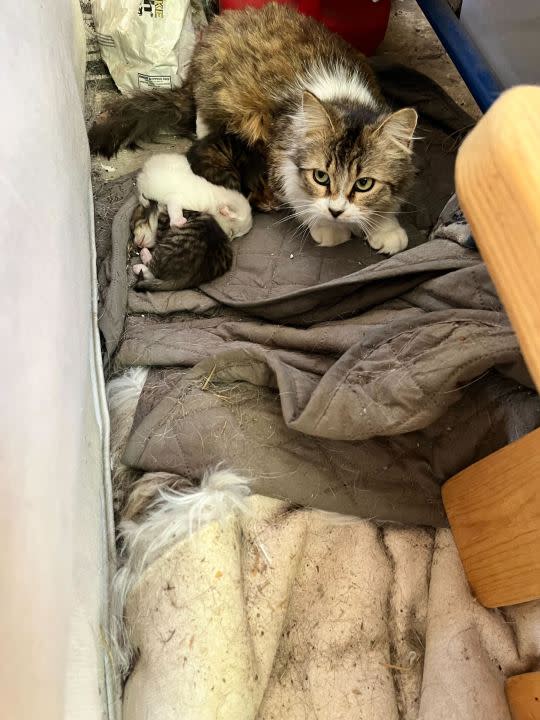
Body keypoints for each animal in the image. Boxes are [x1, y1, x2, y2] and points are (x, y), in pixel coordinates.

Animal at [89, 2, 418, 255]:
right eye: (321, 177)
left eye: (364, 184)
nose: (336, 212)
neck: (344, 100)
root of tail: (225, 19)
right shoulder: (280, 154)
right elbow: (297, 193)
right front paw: (328, 227)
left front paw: (384, 227)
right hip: (213, 85)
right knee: (202, 115)